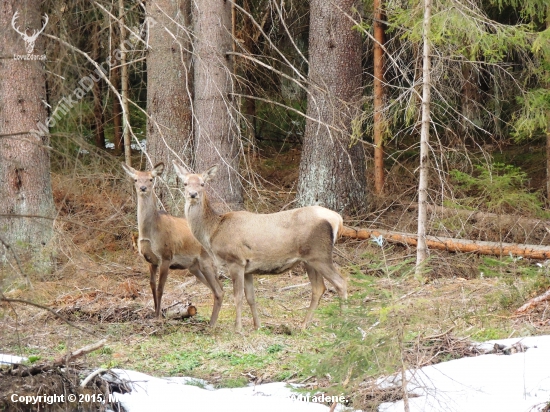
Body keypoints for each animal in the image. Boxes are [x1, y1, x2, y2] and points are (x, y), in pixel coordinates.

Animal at [122, 162, 225, 326]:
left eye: (151, 179)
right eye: (136, 179)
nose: (143, 188)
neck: (150, 232)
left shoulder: (166, 255)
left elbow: (160, 288)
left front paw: (158, 317)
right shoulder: (150, 260)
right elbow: (152, 285)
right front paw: (154, 313)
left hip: (206, 260)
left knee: (219, 290)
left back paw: (212, 324)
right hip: (194, 267)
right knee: (218, 288)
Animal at [172, 161, 348, 332]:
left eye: (202, 183)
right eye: (185, 183)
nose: (193, 194)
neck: (213, 231)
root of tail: (338, 219)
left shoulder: (235, 260)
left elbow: (237, 297)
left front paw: (238, 329)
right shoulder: (248, 267)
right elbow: (251, 297)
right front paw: (257, 326)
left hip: (319, 254)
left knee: (340, 283)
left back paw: (342, 322)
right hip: (308, 259)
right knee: (319, 288)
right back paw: (304, 326)